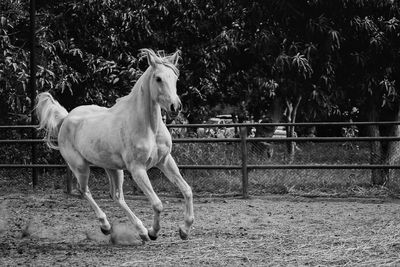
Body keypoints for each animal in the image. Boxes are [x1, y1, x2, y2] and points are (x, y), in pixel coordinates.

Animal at [35, 48, 195, 243]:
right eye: (158, 78)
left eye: (175, 78)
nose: (175, 107)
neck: (148, 127)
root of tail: (66, 118)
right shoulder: (137, 169)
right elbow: (157, 204)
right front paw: (154, 232)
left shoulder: (164, 161)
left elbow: (187, 190)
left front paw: (184, 230)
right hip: (80, 167)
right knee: (84, 191)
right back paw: (107, 226)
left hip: (113, 168)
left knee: (116, 196)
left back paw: (140, 231)